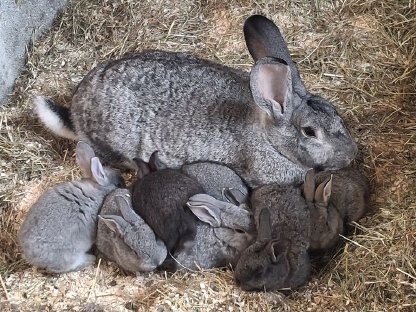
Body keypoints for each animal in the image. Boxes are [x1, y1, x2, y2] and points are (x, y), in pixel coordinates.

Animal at [18, 141, 123, 272]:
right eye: (118, 184)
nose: (125, 184)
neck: (96, 189)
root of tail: (32, 259)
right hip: (70, 255)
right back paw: (90, 259)